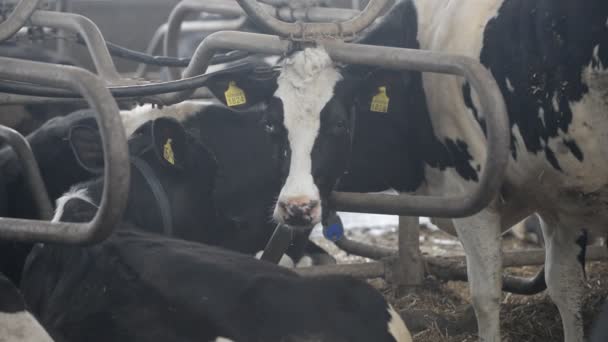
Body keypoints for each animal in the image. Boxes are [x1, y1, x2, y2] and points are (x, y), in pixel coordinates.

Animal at [205, 1, 608, 340]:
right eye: (271, 123)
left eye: (338, 123)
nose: (296, 207)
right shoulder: (563, 196)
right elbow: (566, 289)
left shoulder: (472, 195)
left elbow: (486, 294)